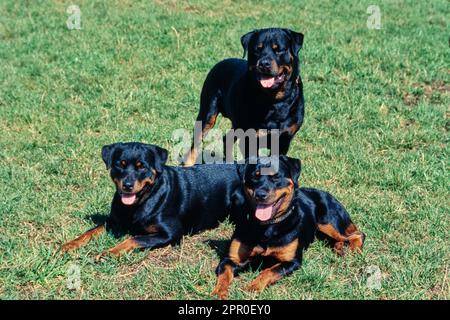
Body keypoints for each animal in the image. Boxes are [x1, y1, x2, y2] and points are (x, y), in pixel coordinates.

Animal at [60, 142, 246, 260]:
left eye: (141, 166)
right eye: (120, 164)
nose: (127, 185)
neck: (141, 202)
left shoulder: (171, 233)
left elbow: (134, 238)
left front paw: (109, 252)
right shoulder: (113, 221)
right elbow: (90, 232)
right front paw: (69, 245)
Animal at [184, 28, 306, 165]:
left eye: (279, 49)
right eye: (257, 50)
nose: (264, 63)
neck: (274, 100)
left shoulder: (284, 139)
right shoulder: (249, 138)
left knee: (227, 139)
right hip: (208, 112)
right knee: (196, 143)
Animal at [212, 156, 366, 298]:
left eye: (276, 176)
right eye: (254, 176)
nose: (260, 194)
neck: (268, 227)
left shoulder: (292, 261)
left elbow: (268, 271)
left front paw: (253, 287)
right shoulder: (230, 259)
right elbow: (224, 275)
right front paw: (219, 292)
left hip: (329, 220)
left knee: (358, 234)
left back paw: (352, 250)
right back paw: (340, 247)